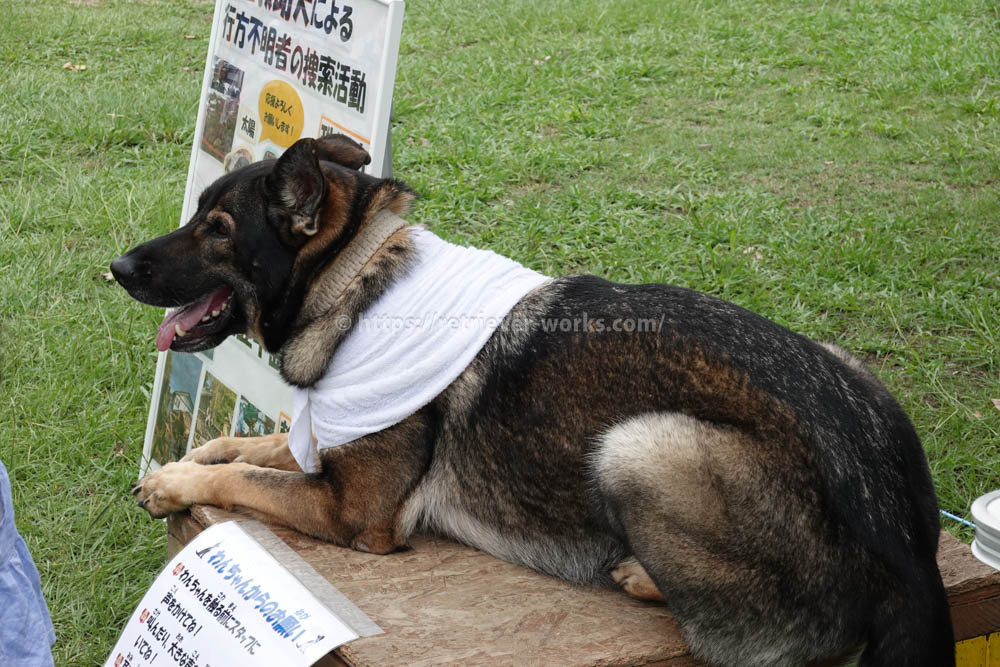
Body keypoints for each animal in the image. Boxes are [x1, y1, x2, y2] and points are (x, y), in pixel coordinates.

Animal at [109, 133, 952, 664]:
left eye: (219, 230)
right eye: (198, 213)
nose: (116, 268)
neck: (354, 280)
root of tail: (908, 545)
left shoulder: (351, 511)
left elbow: (248, 475)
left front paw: (177, 479)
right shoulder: (332, 449)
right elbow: (261, 444)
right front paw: (195, 453)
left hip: (639, 443)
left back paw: (640, 573)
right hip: (848, 369)